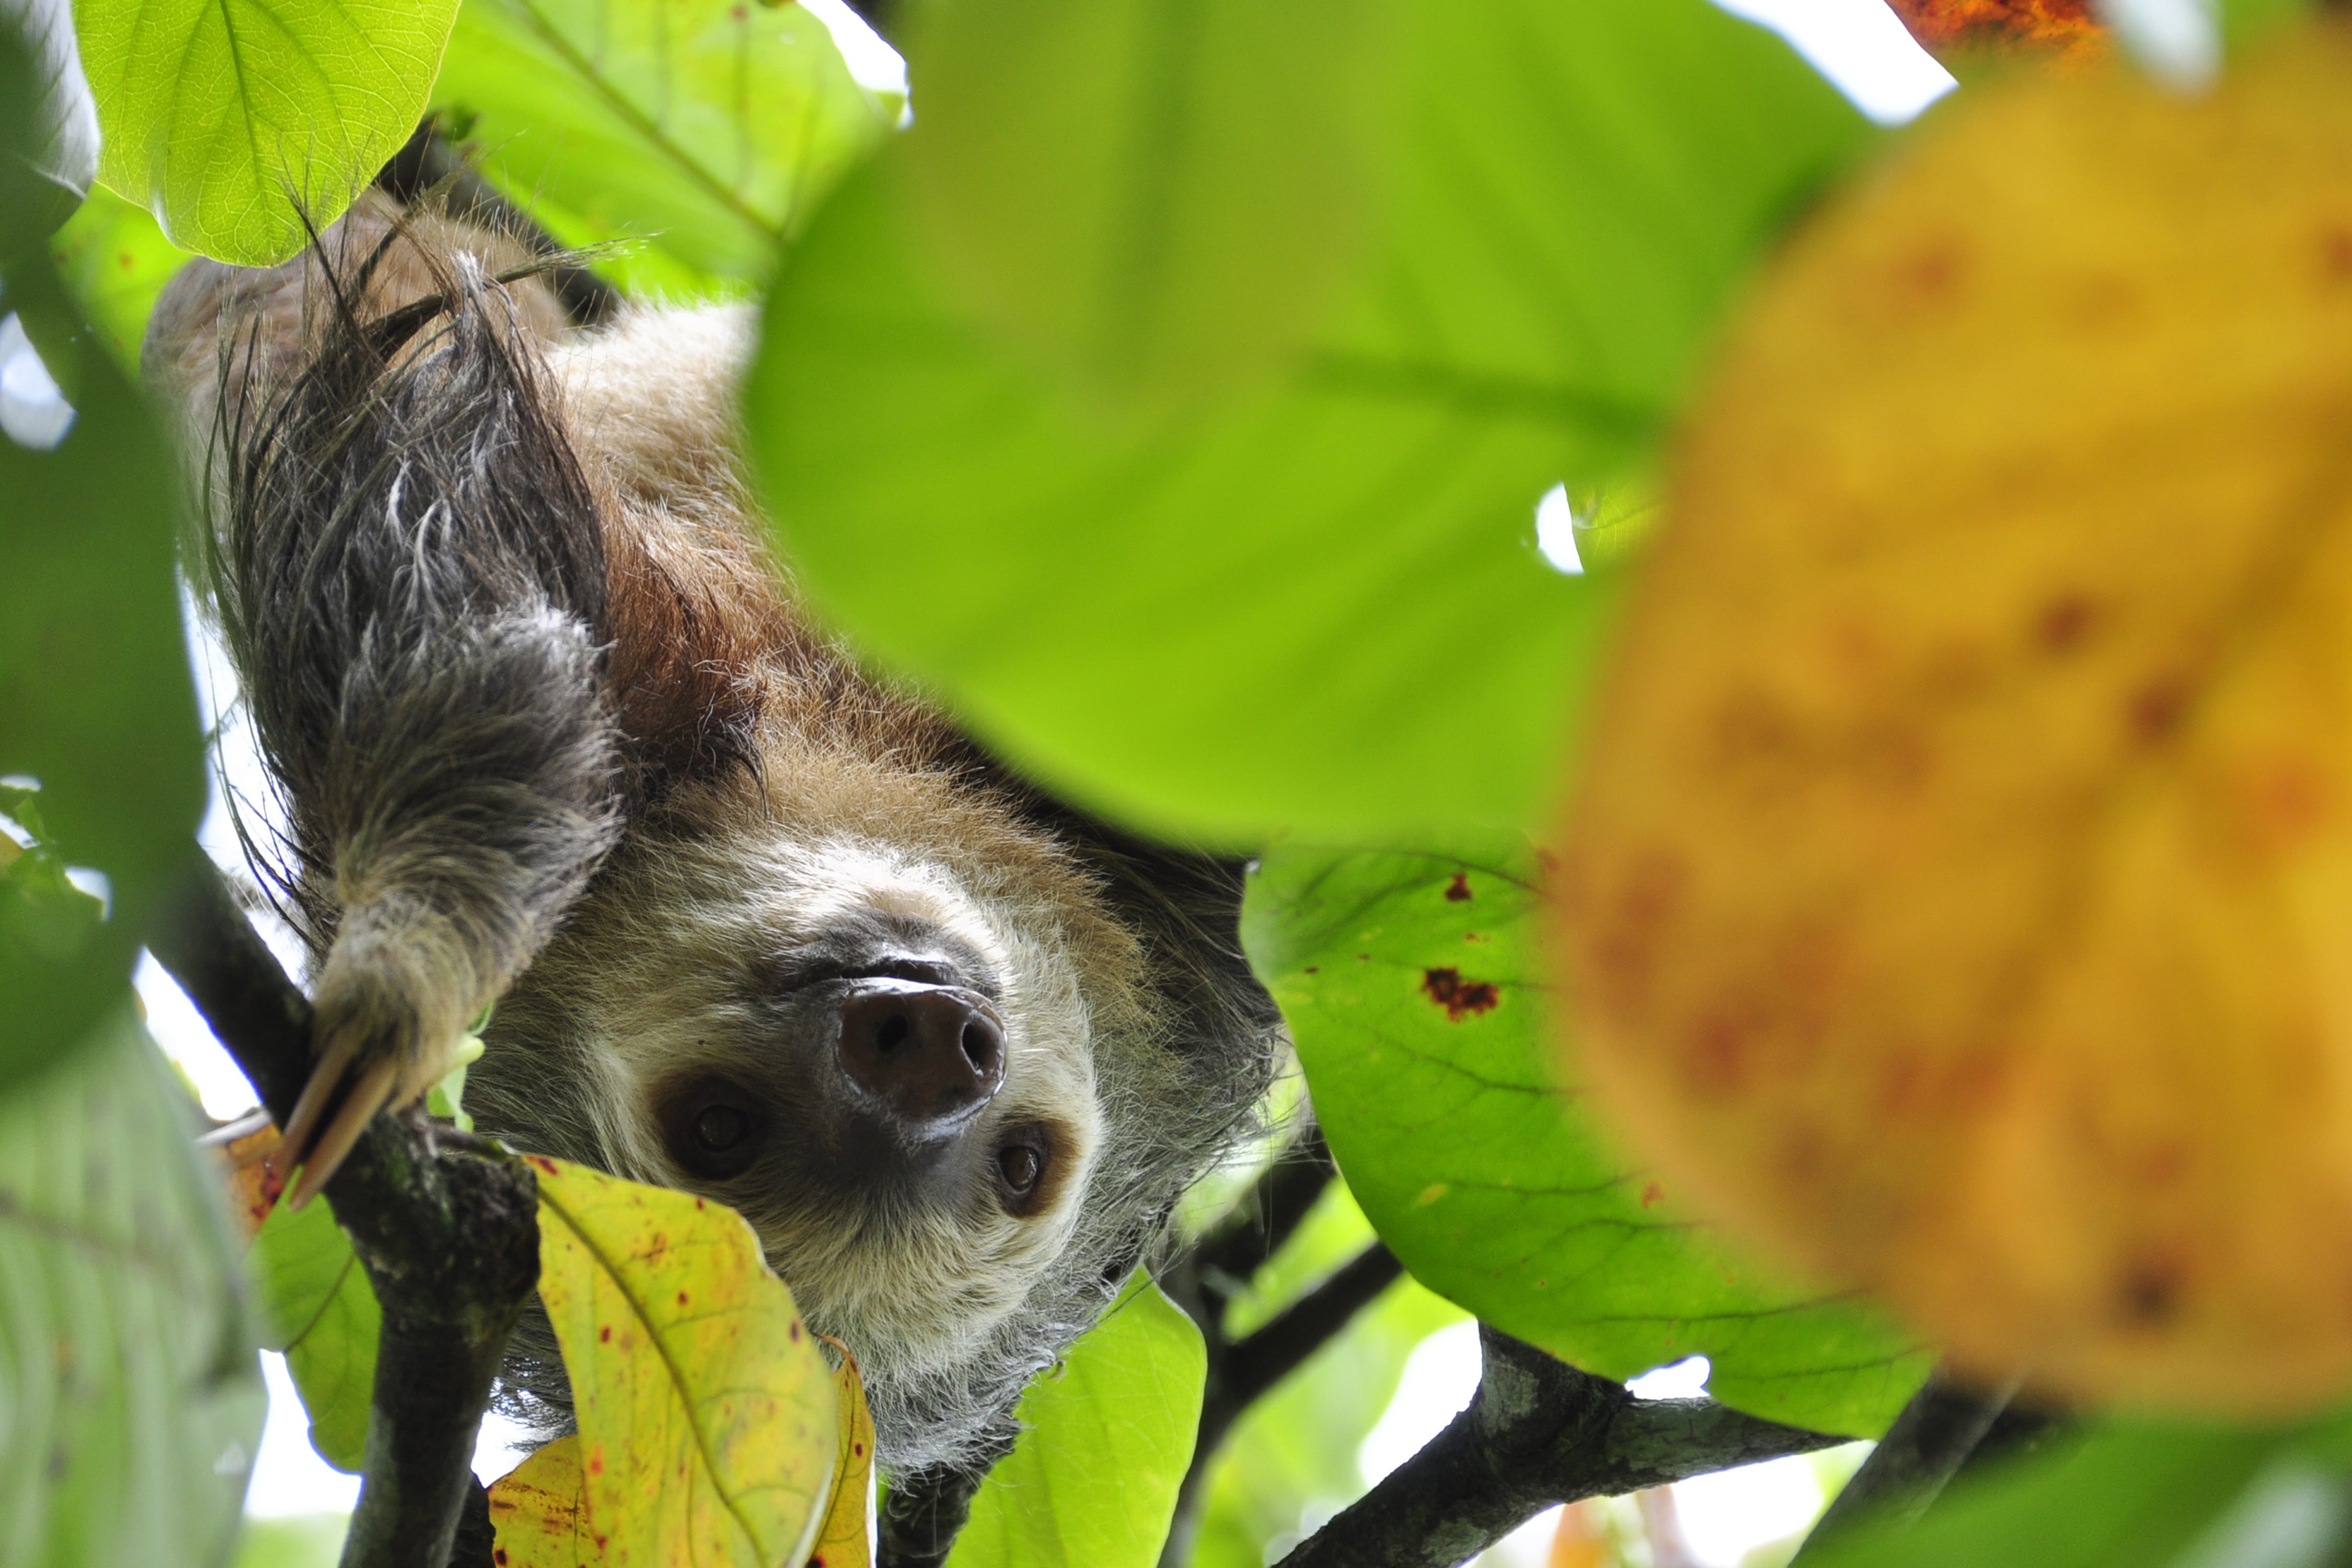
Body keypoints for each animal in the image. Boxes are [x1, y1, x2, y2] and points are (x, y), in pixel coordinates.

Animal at [141, 179, 1283, 1488]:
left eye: (1022, 1165)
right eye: (720, 1127)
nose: (924, 1051)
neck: (830, 736)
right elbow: (457, 620)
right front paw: (413, 968)